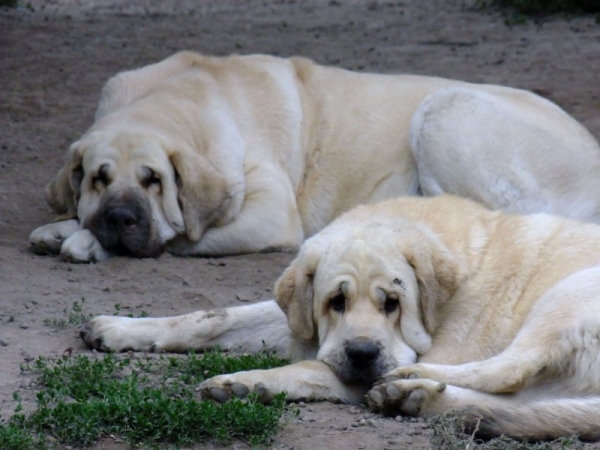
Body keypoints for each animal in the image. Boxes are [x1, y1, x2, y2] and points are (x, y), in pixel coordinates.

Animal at [29, 51, 600, 264]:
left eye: (154, 180)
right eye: (99, 178)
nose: (122, 218)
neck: (179, 103)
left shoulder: (269, 214)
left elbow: (181, 235)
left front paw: (84, 241)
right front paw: (65, 227)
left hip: (444, 109)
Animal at [82, 194, 600, 440]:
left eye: (393, 303)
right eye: (336, 301)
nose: (364, 353)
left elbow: (311, 367)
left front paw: (244, 382)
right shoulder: (301, 322)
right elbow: (214, 316)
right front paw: (121, 328)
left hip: (566, 294)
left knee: (504, 371)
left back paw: (407, 384)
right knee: (516, 401)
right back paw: (418, 399)